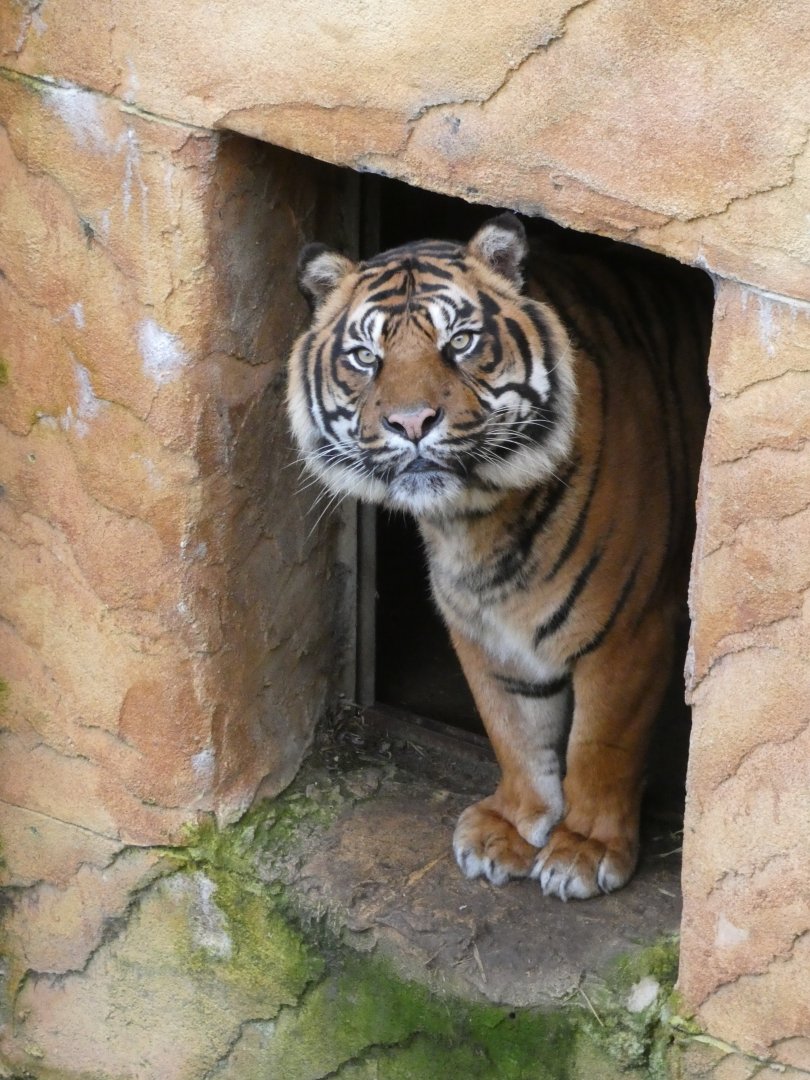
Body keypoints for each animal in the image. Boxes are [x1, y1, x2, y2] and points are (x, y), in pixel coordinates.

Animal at [287, 212, 710, 900]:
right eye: (365, 357)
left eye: (459, 342)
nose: (411, 422)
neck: (474, 520)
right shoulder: (482, 628)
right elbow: (512, 728)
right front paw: (512, 827)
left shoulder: (628, 629)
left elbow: (600, 745)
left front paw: (585, 849)